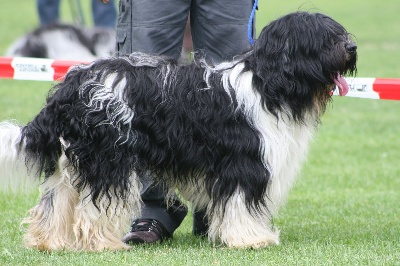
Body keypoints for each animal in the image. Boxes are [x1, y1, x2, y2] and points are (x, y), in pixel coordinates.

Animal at [0, 11, 356, 250]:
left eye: (339, 33)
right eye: (324, 38)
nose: (351, 47)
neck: (268, 84)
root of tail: (72, 84)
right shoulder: (243, 162)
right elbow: (242, 203)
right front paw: (251, 239)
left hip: (73, 159)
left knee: (56, 201)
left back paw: (49, 242)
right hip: (109, 157)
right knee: (95, 207)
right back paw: (104, 243)